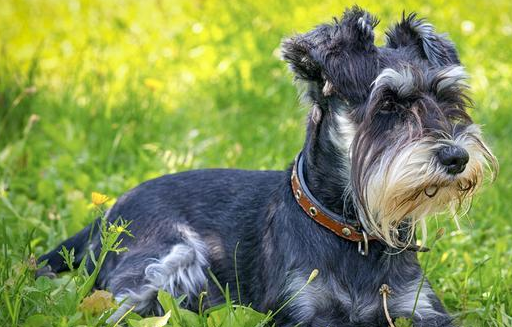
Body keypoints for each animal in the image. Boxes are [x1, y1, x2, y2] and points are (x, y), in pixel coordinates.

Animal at [38, 7, 498, 327]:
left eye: (449, 98)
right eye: (388, 104)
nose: (457, 158)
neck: (353, 232)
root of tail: (108, 213)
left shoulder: (419, 308)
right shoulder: (302, 311)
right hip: (167, 258)